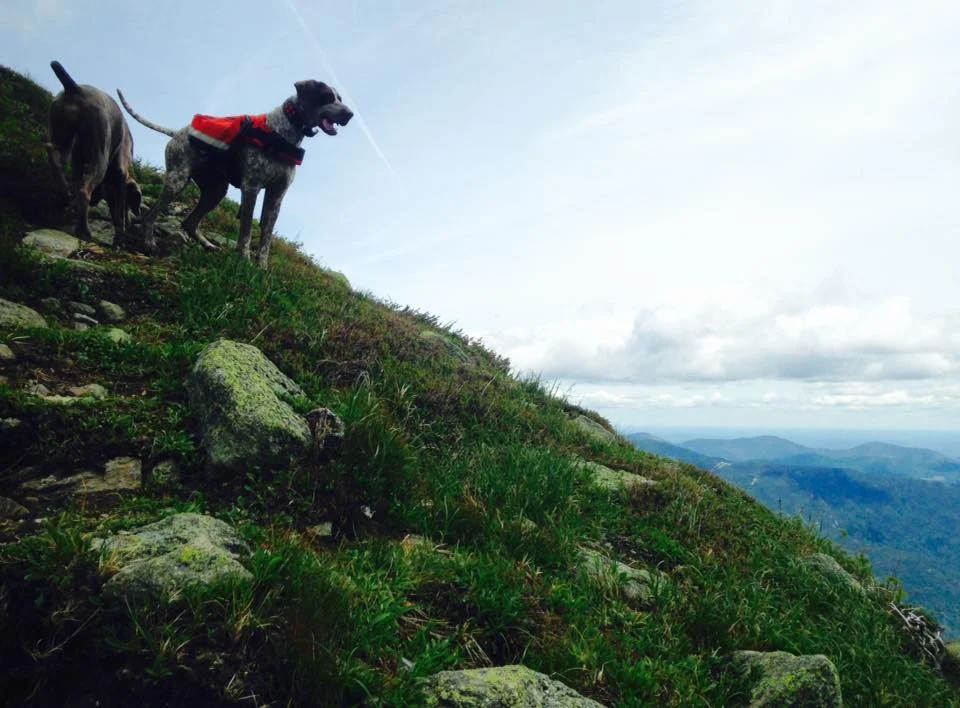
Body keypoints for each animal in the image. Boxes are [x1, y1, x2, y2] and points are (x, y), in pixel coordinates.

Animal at [45, 61, 141, 243]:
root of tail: (74, 89)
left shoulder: (81, 166)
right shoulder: (120, 175)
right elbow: (119, 212)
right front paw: (120, 236)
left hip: (63, 134)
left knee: (53, 152)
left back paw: (62, 186)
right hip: (100, 153)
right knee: (84, 191)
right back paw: (84, 231)